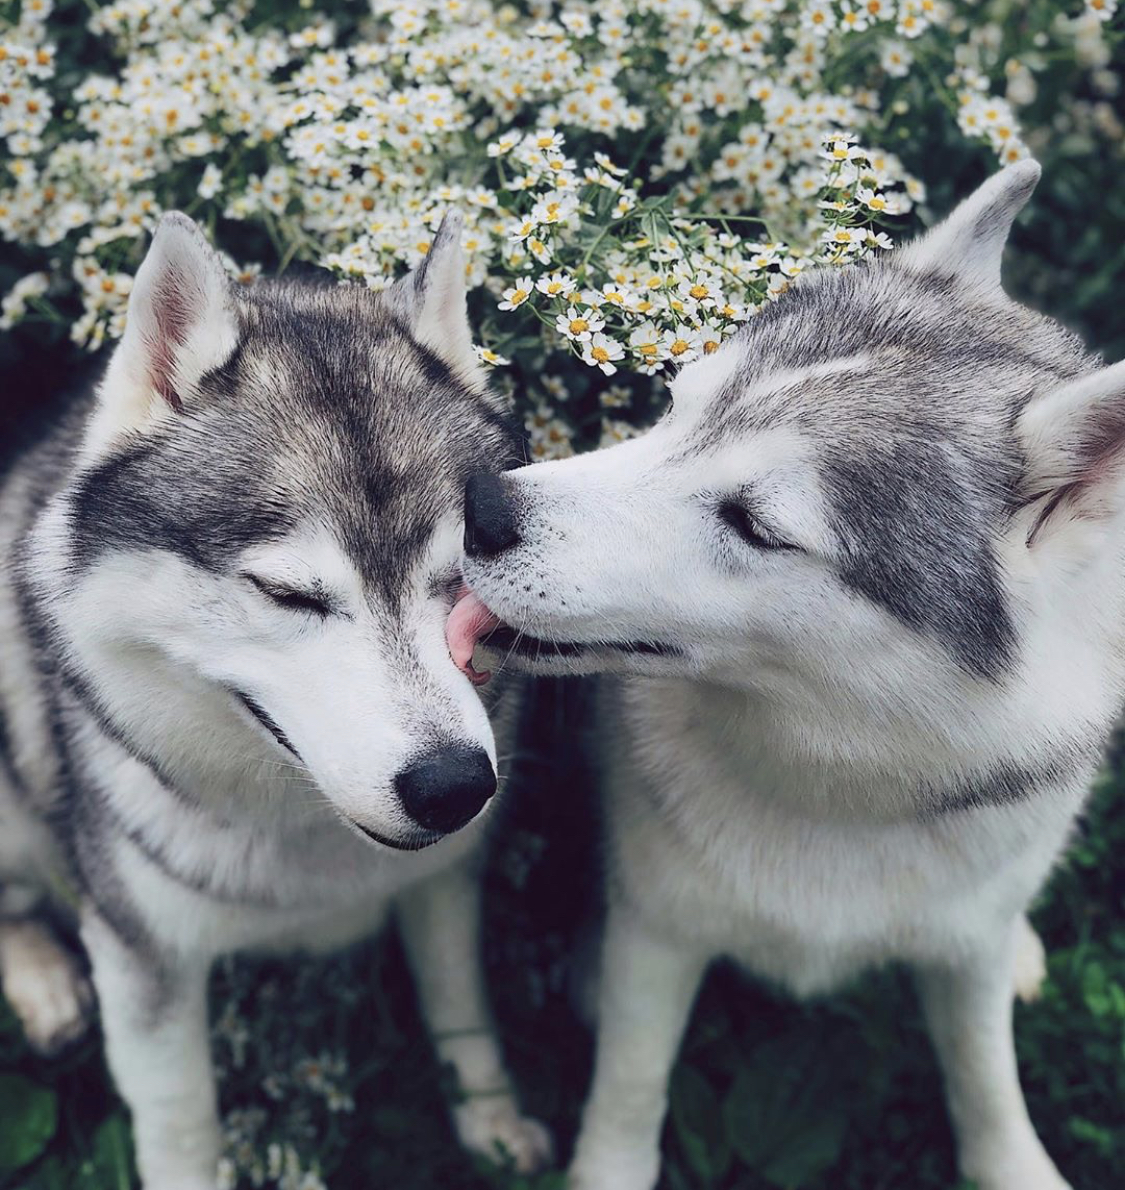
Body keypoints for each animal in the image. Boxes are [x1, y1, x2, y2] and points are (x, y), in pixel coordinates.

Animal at [0, 214, 552, 1190]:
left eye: (457, 578)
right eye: (288, 594)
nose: (453, 785)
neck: (304, 833)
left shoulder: (444, 884)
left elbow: (462, 1011)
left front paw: (490, 1125)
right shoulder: (145, 958)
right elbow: (180, 1122)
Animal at [454, 165, 1104, 1190]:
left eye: (755, 524)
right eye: (675, 408)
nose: (478, 505)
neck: (840, 795)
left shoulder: (962, 950)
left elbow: (985, 1079)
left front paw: (1015, 1164)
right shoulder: (660, 934)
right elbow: (629, 1091)